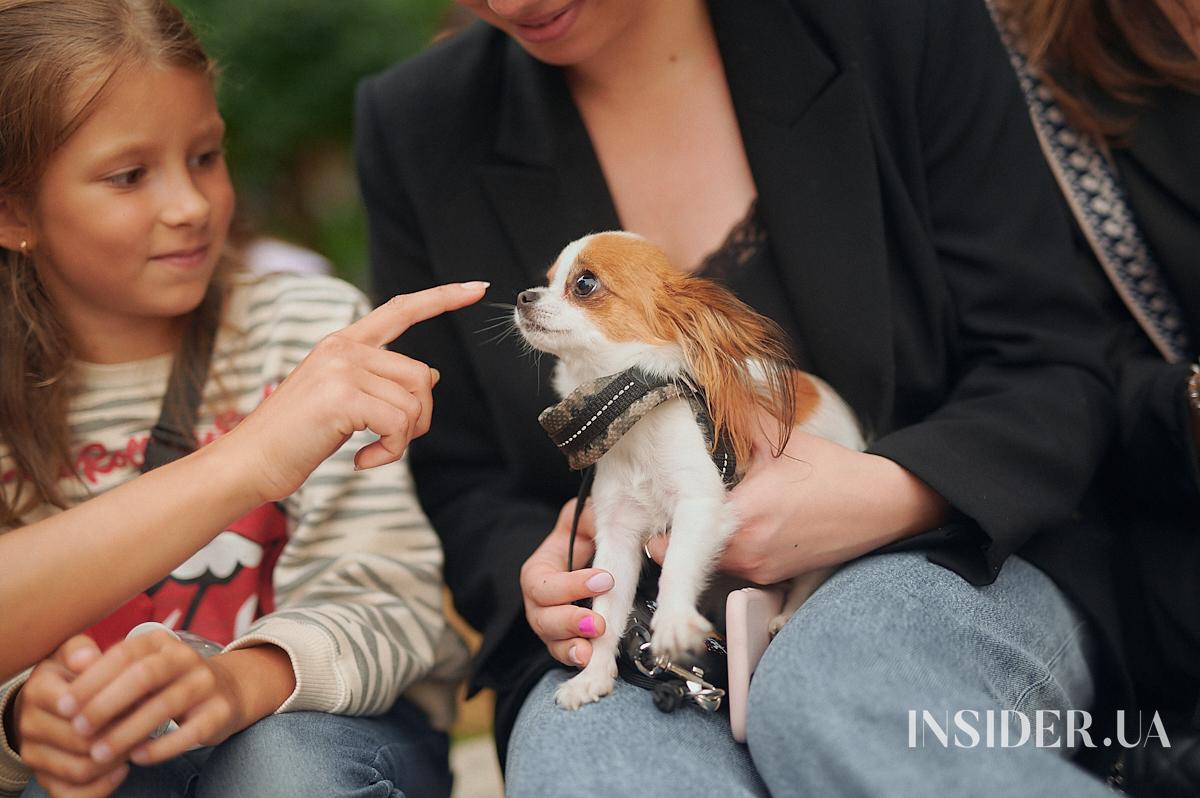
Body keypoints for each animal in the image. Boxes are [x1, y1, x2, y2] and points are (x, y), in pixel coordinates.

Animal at [516, 230, 864, 710]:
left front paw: (674, 621)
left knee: (813, 568)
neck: (635, 414)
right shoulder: (618, 532)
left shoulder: (701, 504)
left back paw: (786, 612)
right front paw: (594, 675)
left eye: (584, 284)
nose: (523, 296)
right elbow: (607, 609)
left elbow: (678, 563)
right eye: (548, 279)